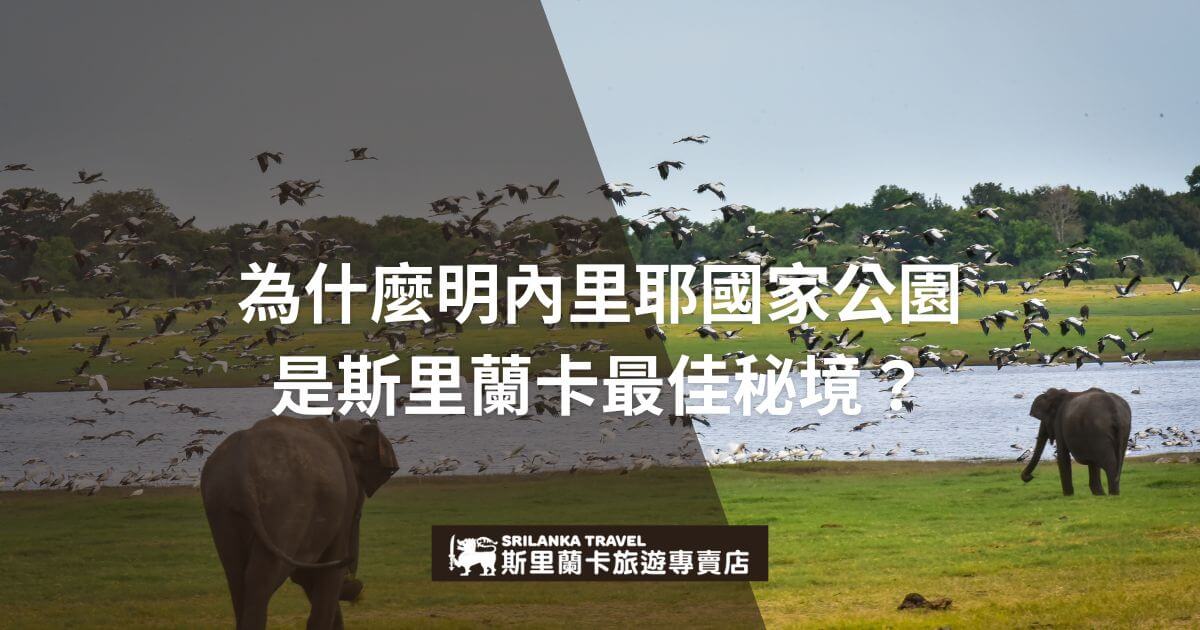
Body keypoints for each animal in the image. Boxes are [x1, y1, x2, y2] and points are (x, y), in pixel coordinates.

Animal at [201, 416, 399, 630]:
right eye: (359, 515)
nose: (357, 586)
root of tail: (242, 472)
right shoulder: (344, 503)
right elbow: (330, 569)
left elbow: (308, 575)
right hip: (285, 505)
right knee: (261, 579)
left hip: (219, 504)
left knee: (236, 575)